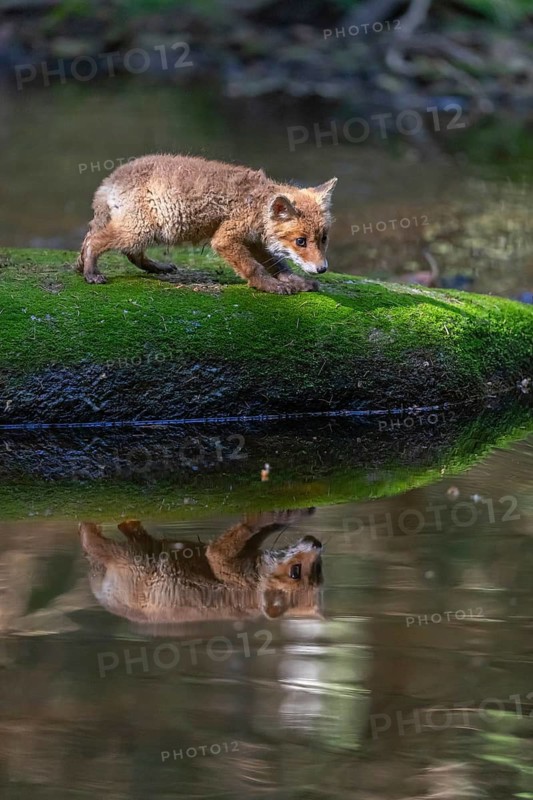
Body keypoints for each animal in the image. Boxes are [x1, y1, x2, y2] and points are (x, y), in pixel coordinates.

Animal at [76, 154, 337, 294]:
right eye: (300, 241)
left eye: (323, 239)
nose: (322, 268)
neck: (256, 204)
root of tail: (112, 178)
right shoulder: (225, 239)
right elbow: (254, 268)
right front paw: (269, 286)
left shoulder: (254, 241)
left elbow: (278, 265)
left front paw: (295, 281)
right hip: (139, 230)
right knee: (93, 241)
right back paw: (90, 272)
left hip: (144, 231)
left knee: (131, 254)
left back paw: (158, 267)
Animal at [79, 509, 323, 627]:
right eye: (296, 571)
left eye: (318, 571)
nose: (318, 544)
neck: (253, 589)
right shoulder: (222, 560)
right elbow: (253, 525)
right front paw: (285, 514)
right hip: (135, 556)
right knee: (89, 537)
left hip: (141, 549)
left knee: (121, 529)